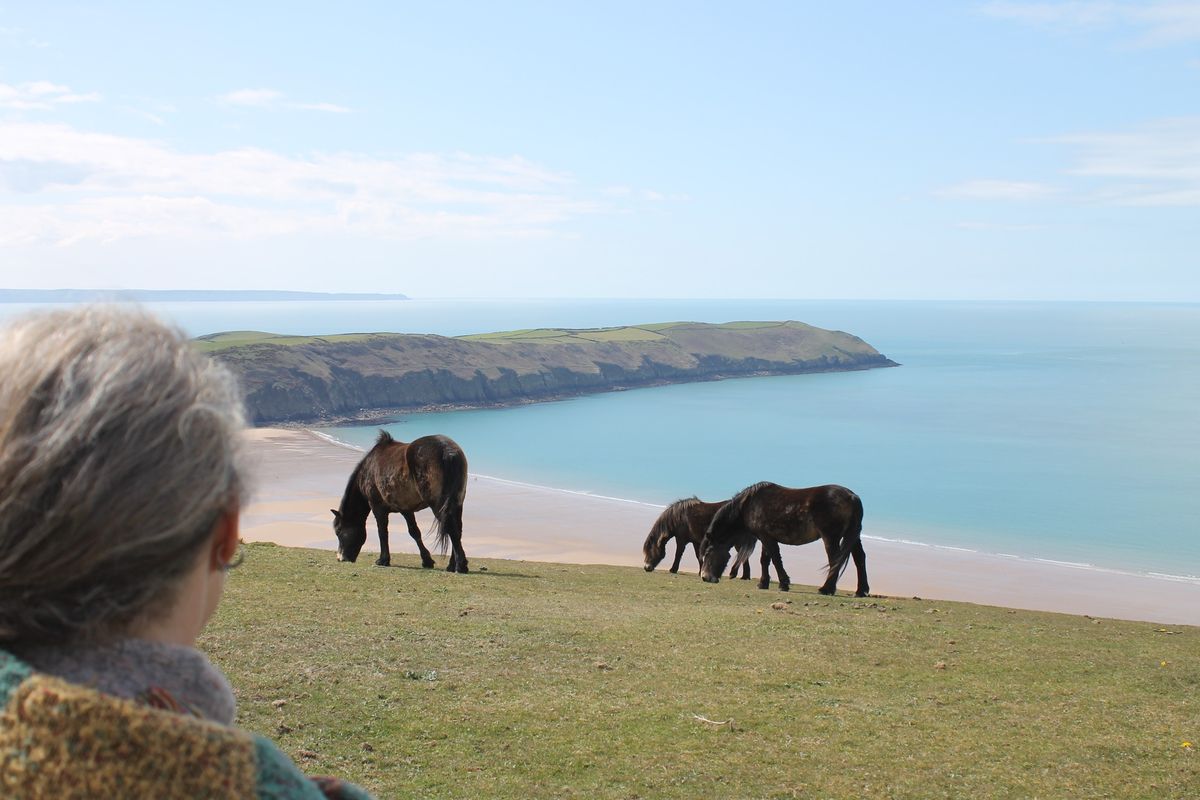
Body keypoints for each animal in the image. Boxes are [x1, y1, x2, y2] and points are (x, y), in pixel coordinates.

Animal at [338, 434, 472, 573]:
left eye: (339, 531)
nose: (341, 558)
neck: (368, 469)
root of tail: (448, 451)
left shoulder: (378, 507)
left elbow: (383, 532)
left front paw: (383, 560)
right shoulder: (406, 509)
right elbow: (415, 532)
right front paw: (427, 560)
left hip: (438, 505)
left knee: (451, 528)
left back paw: (460, 565)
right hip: (457, 503)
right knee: (456, 528)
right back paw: (453, 565)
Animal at [700, 482, 868, 594]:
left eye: (708, 554)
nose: (705, 577)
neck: (749, 504)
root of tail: (852, 497)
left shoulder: (766, 538)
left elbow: (775, 559)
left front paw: (783, 584)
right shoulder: (765, 537)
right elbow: (765, 560)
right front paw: (763, 583)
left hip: (830, 537)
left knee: (834, 560)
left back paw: (827, 589)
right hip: (853, 537)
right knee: (859, 558)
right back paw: (861, 591)